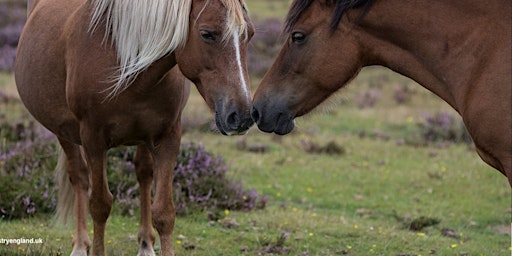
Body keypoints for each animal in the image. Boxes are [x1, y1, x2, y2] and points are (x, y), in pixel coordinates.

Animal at [15, 0, 254, 254]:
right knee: (79, 176)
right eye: (207, 34)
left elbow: (164, 212)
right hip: (63, 130)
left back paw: (145, 244)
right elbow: (99, 204)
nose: (242, 115)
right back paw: (80, 244)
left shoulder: (168, 137)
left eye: (249, 34)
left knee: (143, 173)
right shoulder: (93, 139)